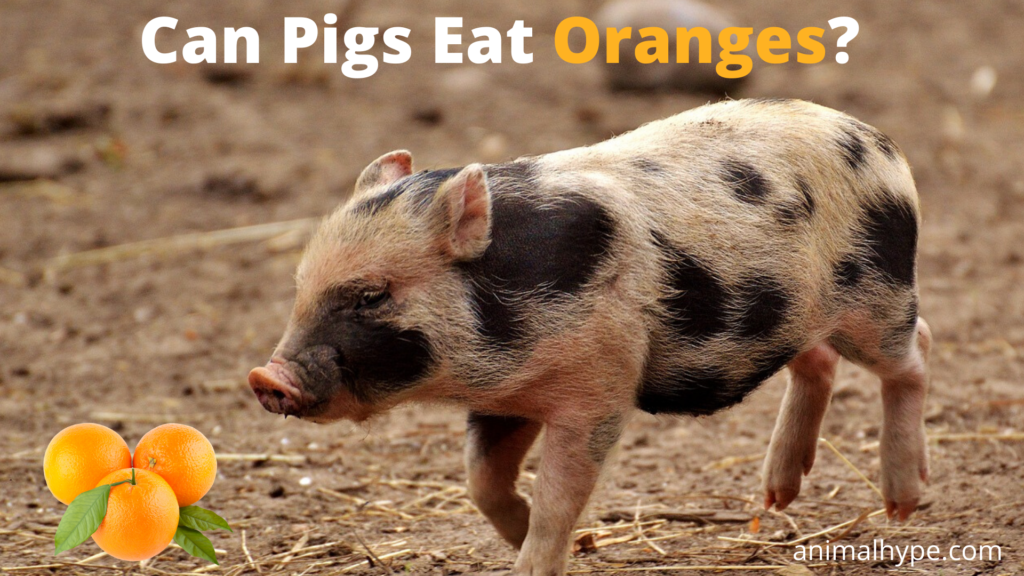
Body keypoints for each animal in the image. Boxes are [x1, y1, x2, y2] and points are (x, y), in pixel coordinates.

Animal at [249, 98, 930, 576]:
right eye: (300, 286)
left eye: (372, 295)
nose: (265, 378)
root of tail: (882, 145)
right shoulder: (504, 398)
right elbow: (481, 482)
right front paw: (583, 542)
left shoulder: (598, 392)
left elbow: (558, 493)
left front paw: (550, 554)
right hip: (797, 316)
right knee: (818, 361)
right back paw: (777, 497)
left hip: (878, 297)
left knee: (916, 350)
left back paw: (902, 505)